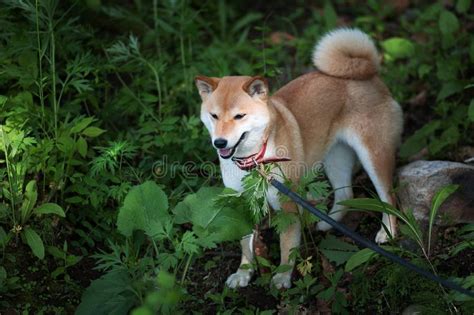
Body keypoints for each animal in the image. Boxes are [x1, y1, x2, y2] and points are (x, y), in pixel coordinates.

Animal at [194, 28, 402, 290]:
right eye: (214, 116)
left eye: (239, 116)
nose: (219, 143)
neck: (254, 160)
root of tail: (369, 74)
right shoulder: (240, 202)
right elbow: (245, 243)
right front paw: (243, 272)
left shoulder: (288, 202)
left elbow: (287, 244)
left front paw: (283, 277)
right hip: (335, 157)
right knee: (346, 193)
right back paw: (326, 223)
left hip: (373, 155)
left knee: (389, 197)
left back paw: (388, 233)